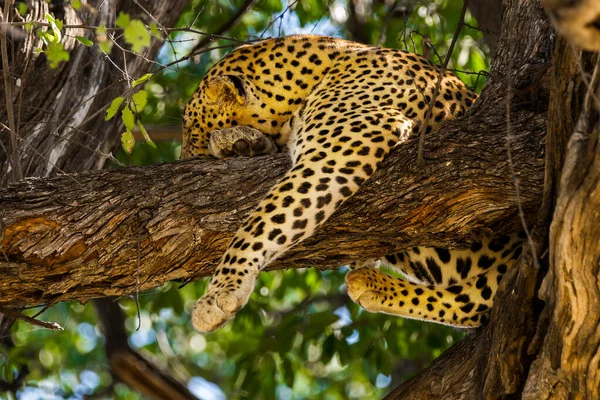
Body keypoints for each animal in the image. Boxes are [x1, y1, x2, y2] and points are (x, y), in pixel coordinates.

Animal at [180, 34, 524, 332]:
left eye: (190, 137)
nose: (183, 160)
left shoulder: (338, 150)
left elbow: (262, 222)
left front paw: (220, 292)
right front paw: (239, 141)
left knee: (479, 298)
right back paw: (371, 285)